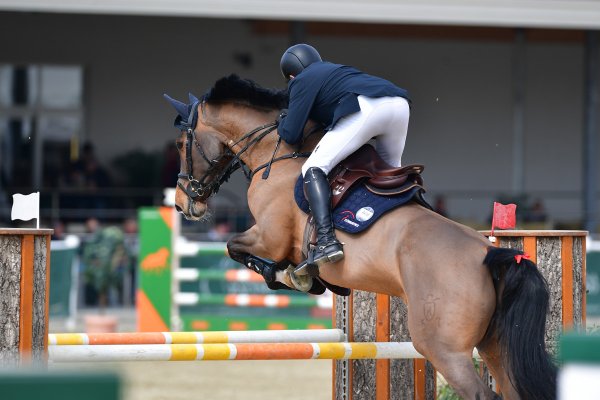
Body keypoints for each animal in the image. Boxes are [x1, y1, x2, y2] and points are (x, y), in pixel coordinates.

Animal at [165, 75, 556, 400]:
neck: (275, 153)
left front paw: (293, 277)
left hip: (445, 349)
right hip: (495, 347)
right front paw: (307, 279)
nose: (183, 202)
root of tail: (496, 256)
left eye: (182, 143)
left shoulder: (268, 238)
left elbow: (237, 249)